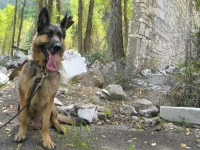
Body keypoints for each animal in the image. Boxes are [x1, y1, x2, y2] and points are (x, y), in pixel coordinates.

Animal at [13, 7, 88, 149]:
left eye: (60, 35)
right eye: (49, 33)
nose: (57, 47)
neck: (43, 70)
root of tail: (36, 123)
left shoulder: (49, 101)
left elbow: (46, 125)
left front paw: (47, 140)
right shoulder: (23, 97)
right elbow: (23, 119)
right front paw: (21, 133)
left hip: (53, 107)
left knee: (53, 121)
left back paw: (59, 127)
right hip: (21, 106)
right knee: (28, 121)